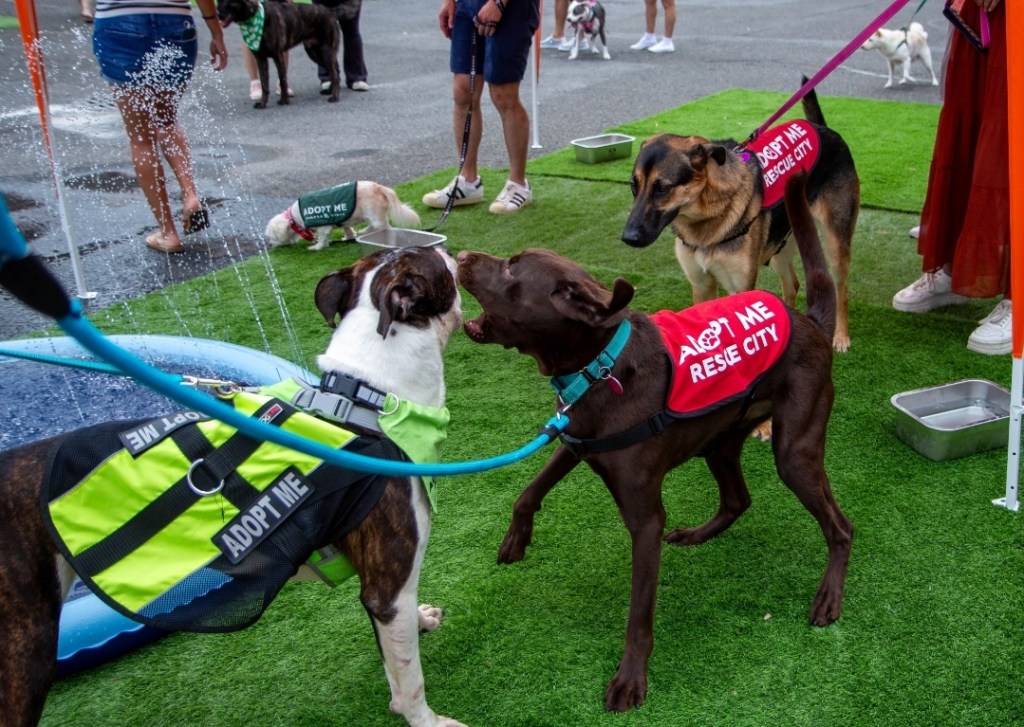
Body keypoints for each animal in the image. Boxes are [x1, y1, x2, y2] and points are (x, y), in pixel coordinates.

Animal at [0, 246, 468, 727]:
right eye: (433, 258)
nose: (450, 248)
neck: (366, 397)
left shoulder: (379, 590)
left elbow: (394, 658)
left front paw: (419, 626)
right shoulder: (389, 582)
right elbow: (410, 679)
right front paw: (428, 722)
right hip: (22, 653)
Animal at [268, 181, 423, 251]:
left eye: (272, 236)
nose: (269, 244)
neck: (295, 217)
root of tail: (378, 187)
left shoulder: (323, 227)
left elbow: (322, 238)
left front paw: (317, 247)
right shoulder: (344, 222)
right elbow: (347, 230)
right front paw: (348, 237)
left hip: (376, 217)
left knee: (386, 228)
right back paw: (365, 232)